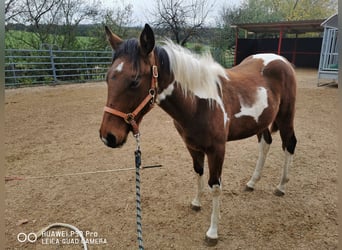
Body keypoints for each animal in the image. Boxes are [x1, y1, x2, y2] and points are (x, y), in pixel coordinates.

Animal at [99, 23, 296, 244]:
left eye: (134, 81)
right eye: (107, 78)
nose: (108, 136)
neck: (199, 103)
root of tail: (280, 60)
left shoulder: (217, 150)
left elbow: (215, 185)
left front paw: (212, 232)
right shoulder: (193, 146)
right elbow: (198, 172)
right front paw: (196, 202)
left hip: (285, 117)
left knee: (289, 144)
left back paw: (281, 187)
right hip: (261, 123)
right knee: (265, 144)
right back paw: (252, 182)